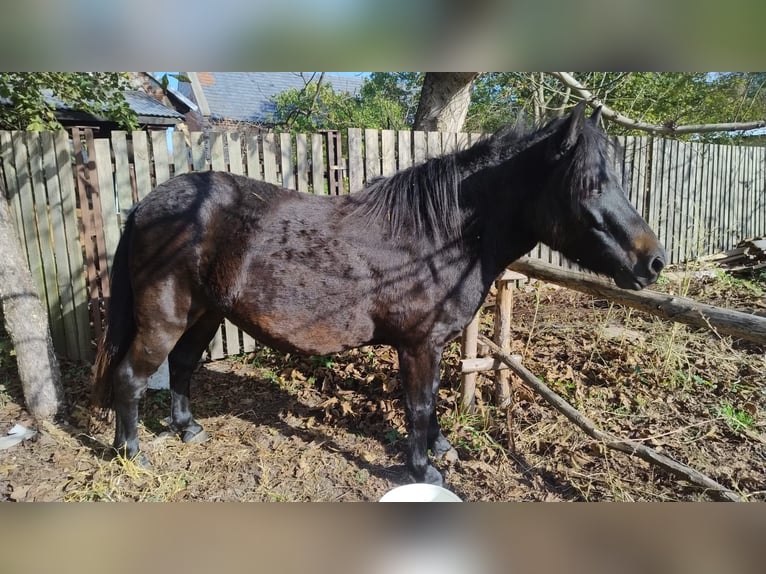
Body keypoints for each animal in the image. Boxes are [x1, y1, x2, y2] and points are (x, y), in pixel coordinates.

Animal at [91, 103, 664, 486]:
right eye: (589, 186)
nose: (652, 262)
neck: (439, 235)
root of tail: (146, 204)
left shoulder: (433, 344)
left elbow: (432, 401)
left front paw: (442, 448)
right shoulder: (418, 345)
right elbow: (418, 404)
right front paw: (424, 469)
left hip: (205, 314)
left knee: (183, 365)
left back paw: (188, 430)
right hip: (165, 316)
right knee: (132, 377)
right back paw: (131, 453)